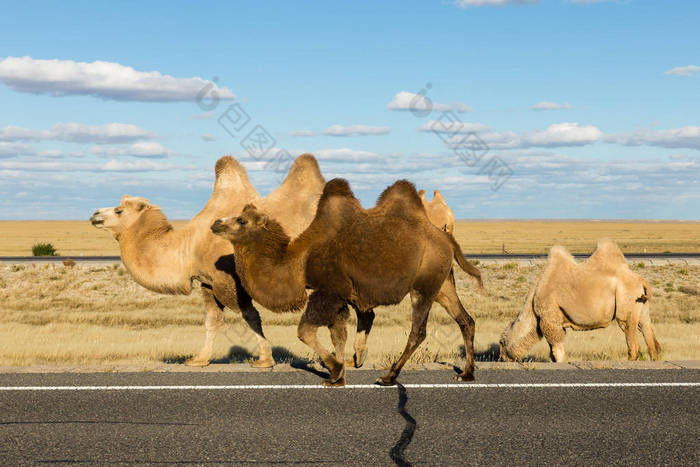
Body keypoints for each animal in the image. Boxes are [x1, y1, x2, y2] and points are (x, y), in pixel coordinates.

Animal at [89, 154, 326, 370]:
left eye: (119, 210)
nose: (94, 214)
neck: (188, 247)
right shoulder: (208, 282)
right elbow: (212, 320)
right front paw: (199, 359)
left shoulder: (229, 280)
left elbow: (250, 316)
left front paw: (265, 360)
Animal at [211, 179, 478, 388]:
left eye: (242, 220)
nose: (215, 223)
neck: (300, 260)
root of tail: (446, 237)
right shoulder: (340, 296)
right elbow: (338, 334)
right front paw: (339, 376)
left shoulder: (328, 290)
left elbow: (305, 331)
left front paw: (335, 369)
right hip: (442, 283)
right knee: (465, 320)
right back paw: (466, 374)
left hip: (424, 284)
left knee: (418, 331)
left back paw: (389, 376)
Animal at [500, 239, 660, 364]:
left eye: (501, 343)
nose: (500, 358)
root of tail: (641, 281)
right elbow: (552, 350)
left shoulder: (549, 318)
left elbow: (556, 348)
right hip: (641, 304)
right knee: (646, 327)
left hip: (626, 300)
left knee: (629, 330)